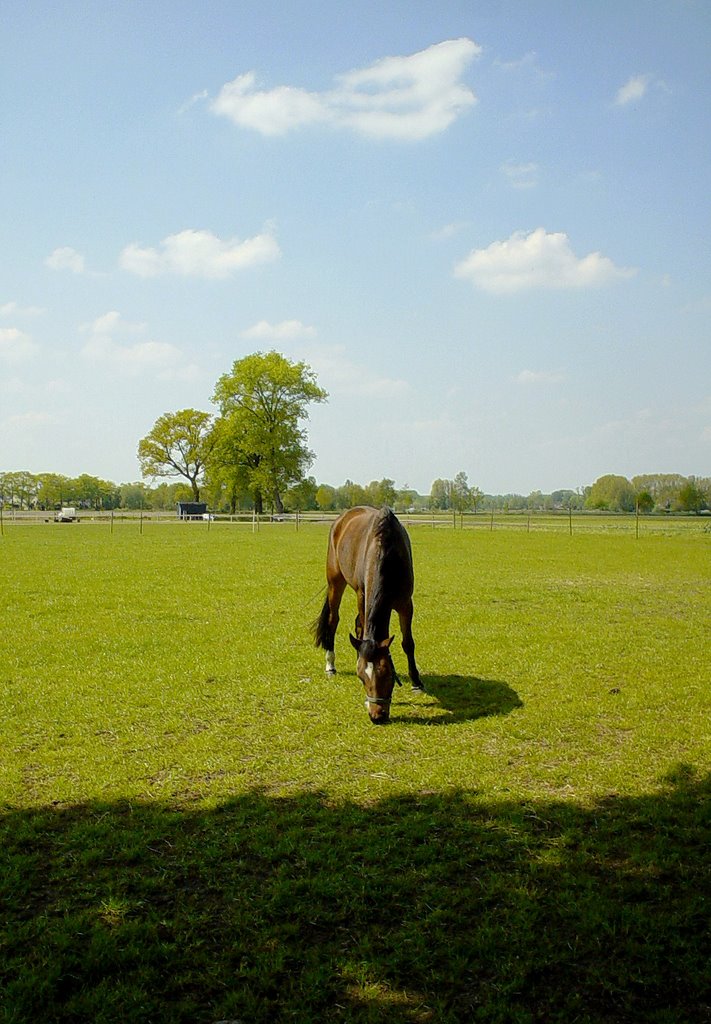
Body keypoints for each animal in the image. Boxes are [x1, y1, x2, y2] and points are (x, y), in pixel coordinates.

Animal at [313, 507, 424, 724]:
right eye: (361, 678)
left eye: (387, 674)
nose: (376, 716)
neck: (387, 551)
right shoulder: (362, 595)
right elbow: (363, 628)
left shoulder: (406, 603)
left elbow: (408, 643)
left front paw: (416, 682)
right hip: (335, 582)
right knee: (334, 620)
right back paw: (330, 665)